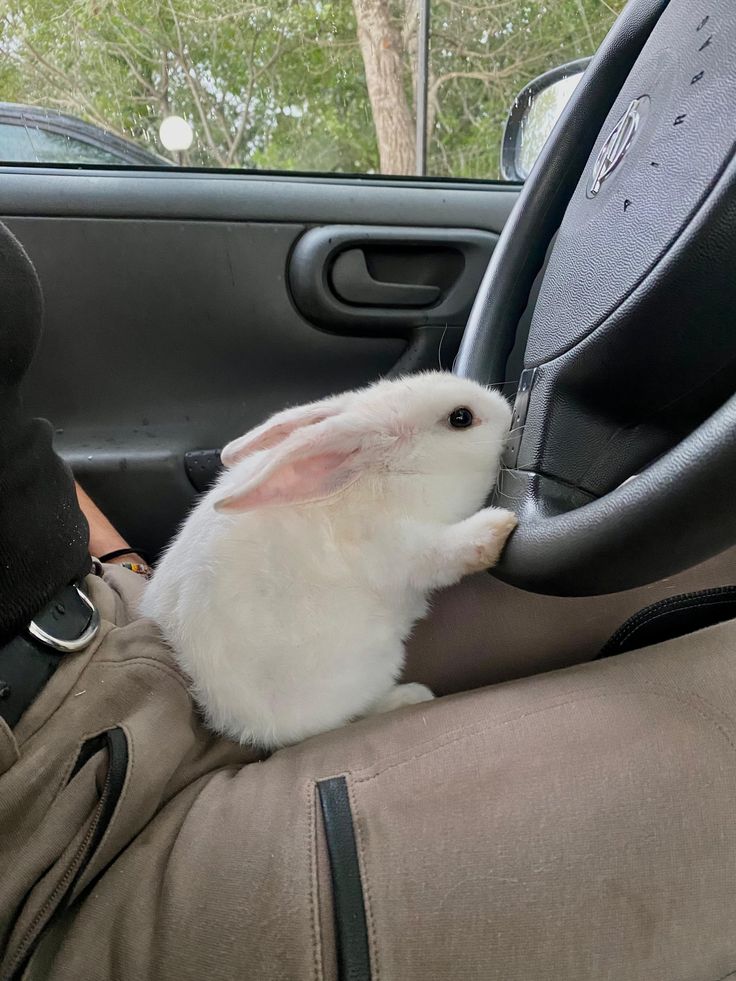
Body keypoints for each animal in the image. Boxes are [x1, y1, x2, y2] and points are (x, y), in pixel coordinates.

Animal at [141, 371, 516, 749]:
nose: (509, 410)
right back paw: (412, 696)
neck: (397, 475)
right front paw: (498, 525)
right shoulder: (398, 547)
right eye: (461, 418)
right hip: (373, 664)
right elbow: (445, 551)